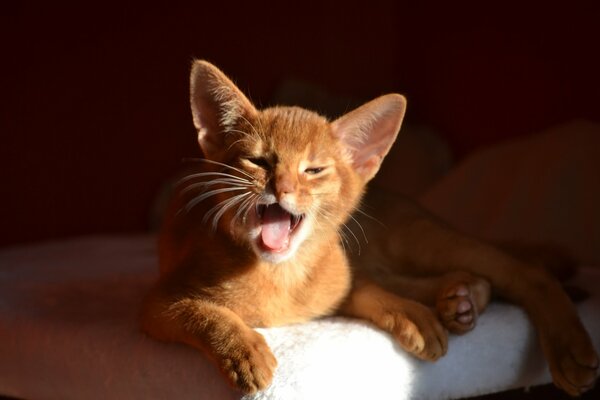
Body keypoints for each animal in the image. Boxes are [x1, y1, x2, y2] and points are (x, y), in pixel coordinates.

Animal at [141, 61, 596, 396]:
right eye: (258, 161)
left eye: (314, 170)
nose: (281, 186)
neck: (282, 276)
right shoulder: (158, 301)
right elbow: (203, 313)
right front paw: (244, 350)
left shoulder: (343, 279)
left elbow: (364, 291)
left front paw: (411, 316)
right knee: (464, 279)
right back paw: (459, 299)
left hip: (425, 242)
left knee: (525, 272)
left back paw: (565, 344)